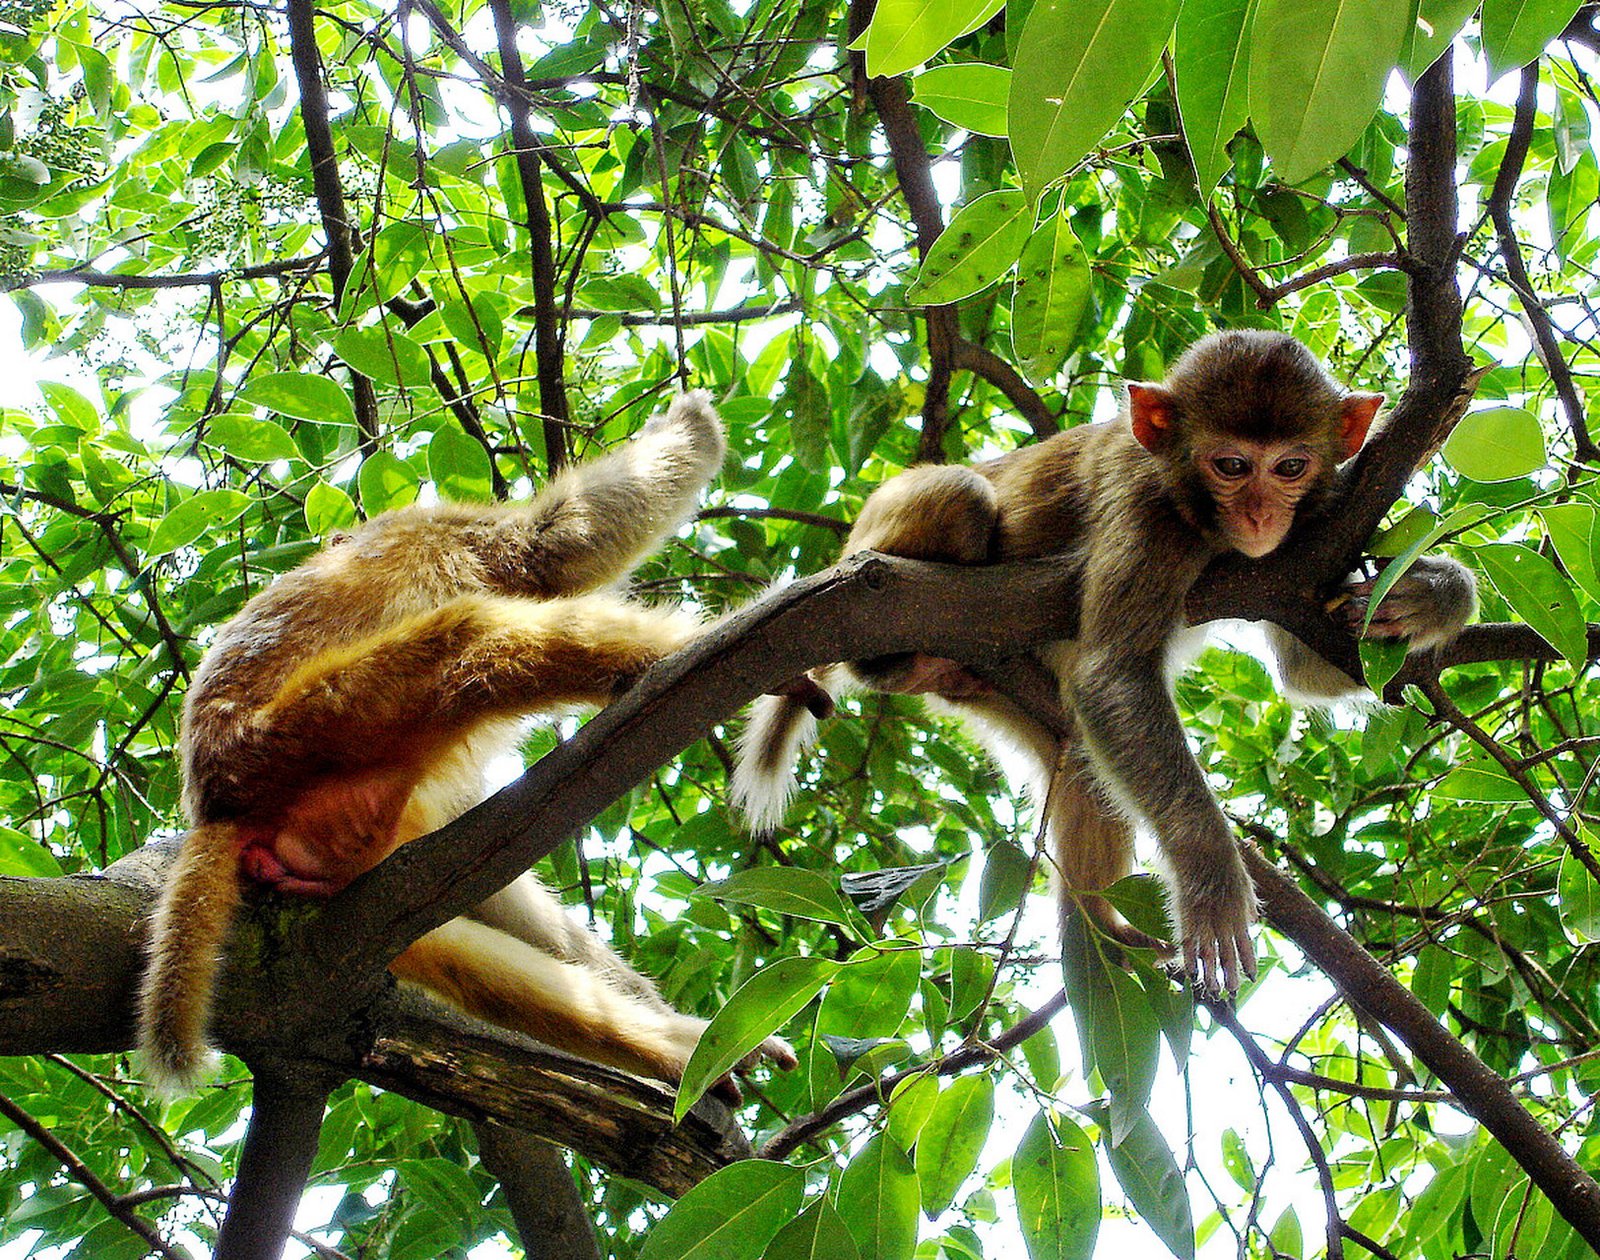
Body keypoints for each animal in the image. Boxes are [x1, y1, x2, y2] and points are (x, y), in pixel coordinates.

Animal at [138, 391, 797, 1098]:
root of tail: (218, 801)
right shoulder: (449, 531)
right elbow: (559, 543)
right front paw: (694, 421)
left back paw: (678, 1045)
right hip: (311, 728)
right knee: (468, 632)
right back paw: (708, 657)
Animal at [732, 331, 1476, 994]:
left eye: (1289, 467)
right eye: (1232, 466)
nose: (1262, 516)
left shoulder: (1307, 539)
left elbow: (1306, 666)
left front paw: (1430, 596)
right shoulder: (1148, 511)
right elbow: (1112, 675)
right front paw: (1210, 873)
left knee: (1087, 770)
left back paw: (1098, 923)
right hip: (882, 543)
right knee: (962, 498)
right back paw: (892, 658)